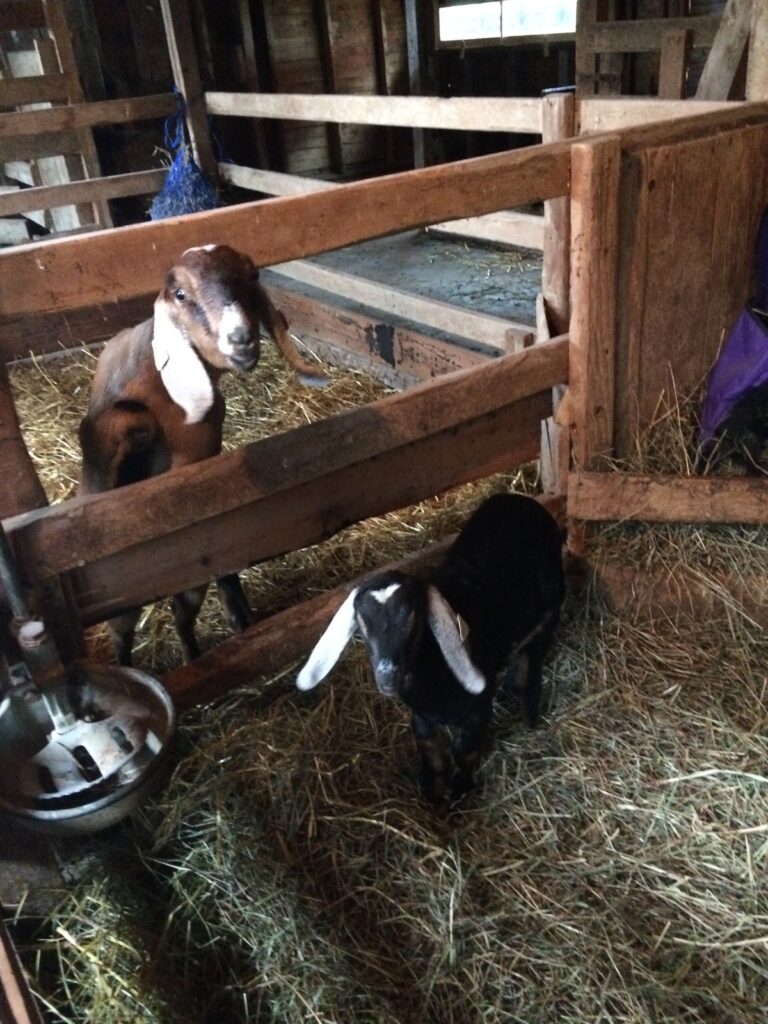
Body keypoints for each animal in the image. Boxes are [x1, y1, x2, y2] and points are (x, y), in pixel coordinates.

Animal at [79, 243, 327, 666]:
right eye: (181, 294)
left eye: (252, 277)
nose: (241, 338)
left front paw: (238, 613)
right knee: (131, 628)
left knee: (181, 611)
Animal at [296, 493, 565, 806]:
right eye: (362, 623)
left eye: (414, 616)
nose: (388, 678)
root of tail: (519, 498)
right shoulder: (421, 717)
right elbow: (432, 753)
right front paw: (433, 796)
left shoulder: (477, 713)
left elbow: (465, 754)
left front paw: (460, 794)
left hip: (552, 587)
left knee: (539, 634)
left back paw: (526, 698)